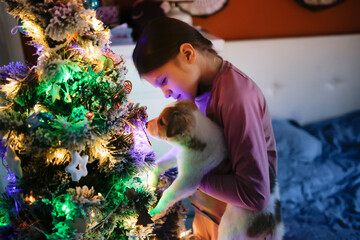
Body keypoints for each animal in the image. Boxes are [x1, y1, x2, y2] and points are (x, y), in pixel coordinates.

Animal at [146, 100, 284, 240]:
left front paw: (157, 210)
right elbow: (160, 164)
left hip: (231, 225)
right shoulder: (179, 154)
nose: (145, 124)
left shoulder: (188, 180)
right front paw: (150, 182)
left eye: (161, 122)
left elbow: (169, 193)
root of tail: (273, 224)